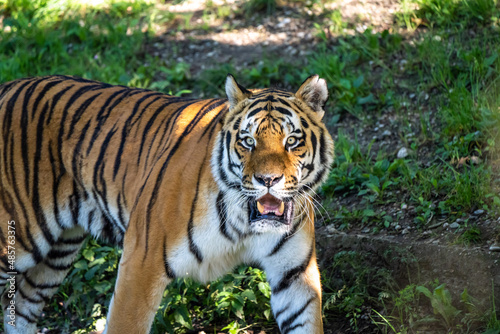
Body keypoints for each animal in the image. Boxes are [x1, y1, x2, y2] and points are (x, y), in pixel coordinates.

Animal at [0, 73, 334, 334]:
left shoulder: (295, 276)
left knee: (21, 305)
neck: (244, 224)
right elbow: (125, 323)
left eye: (292, 141)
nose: (268, 180)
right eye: (248, 141)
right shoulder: (141, 262)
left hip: (59, 251)